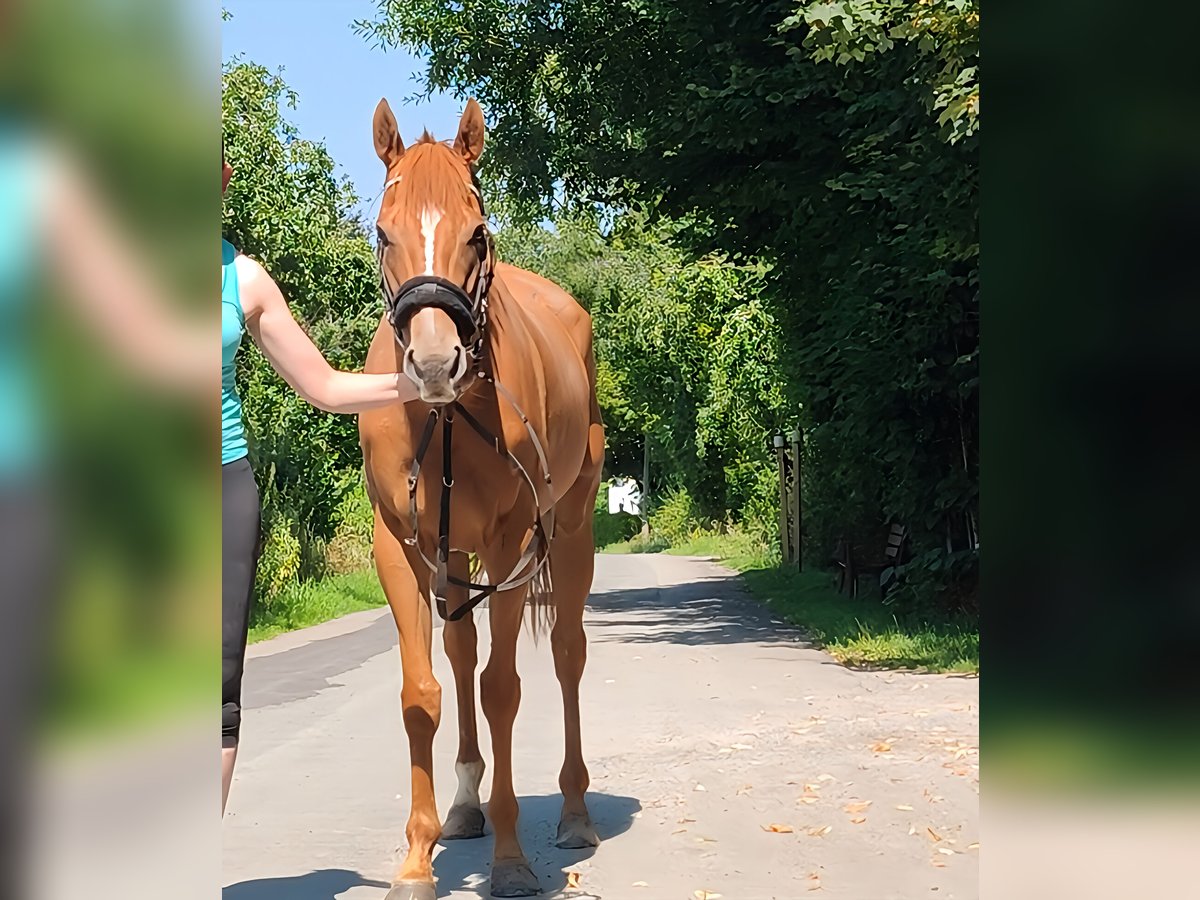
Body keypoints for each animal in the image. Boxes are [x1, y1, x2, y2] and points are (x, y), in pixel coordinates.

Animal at [355, 98, 600, 900]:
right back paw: (465, 806)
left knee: (565, 655)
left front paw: (512, 859)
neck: (447, 417)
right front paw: (416, 856)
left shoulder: (510, 544)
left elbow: (502, 689)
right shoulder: (402, 547)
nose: (436, 363)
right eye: (383, 231)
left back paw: (576, 812)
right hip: (452, 555)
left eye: (477, 230)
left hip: (571, 530)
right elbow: (423, 693)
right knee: (459, 656)